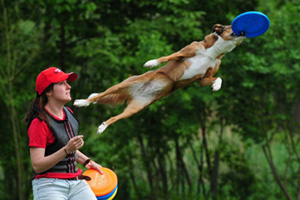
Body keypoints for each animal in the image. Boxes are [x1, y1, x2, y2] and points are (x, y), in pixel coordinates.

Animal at [74, 24, 245, 134]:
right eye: (230, 26)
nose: (244, 31)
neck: (213, 52)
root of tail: (134, 93)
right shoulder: (184, 53)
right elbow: (166, 57)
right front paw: (151, 63)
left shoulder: (205, 77)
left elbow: (218, 78)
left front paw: (216, 86)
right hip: (122, 85)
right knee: (100, 95)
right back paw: (82, 102)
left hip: (134, 109)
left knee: (115, 117)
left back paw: (102, 127)